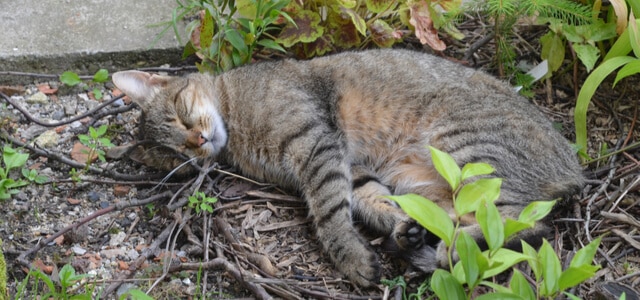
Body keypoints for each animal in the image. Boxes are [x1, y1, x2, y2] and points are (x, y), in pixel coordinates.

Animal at [112, 48, 584, 286]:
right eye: (178, 157)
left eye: (178, 112)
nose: (198, 142)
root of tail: (576, 166)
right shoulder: (348, 165)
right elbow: (368, 201)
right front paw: (397, 226)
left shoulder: (317, 147)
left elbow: (330, 216)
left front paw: (351, 259)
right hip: (422, 182)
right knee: (478, 219)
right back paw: (420, 240)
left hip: (462, 151)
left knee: (527, 224)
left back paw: (449, 252)